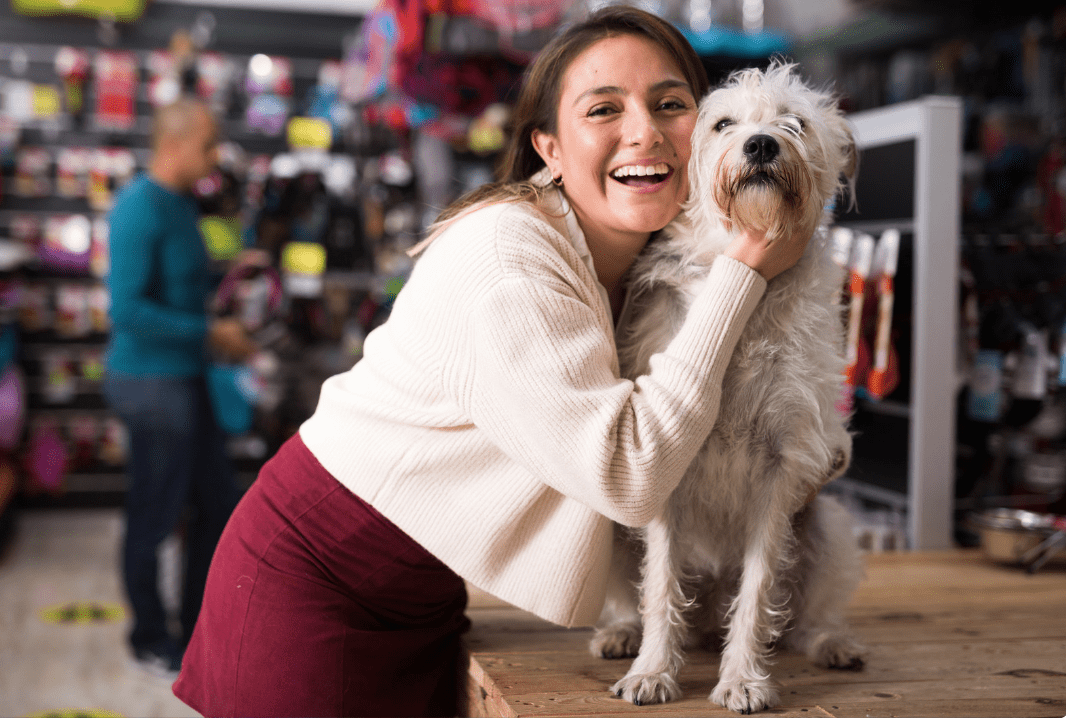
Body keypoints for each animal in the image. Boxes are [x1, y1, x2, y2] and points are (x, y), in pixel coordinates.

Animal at [596, 64, 869, 711]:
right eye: (722, 124)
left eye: (794, 121)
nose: (762, 145)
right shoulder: (662, 466)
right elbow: (660, 584)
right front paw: (652, 671)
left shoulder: (782, 464)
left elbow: (758, 588)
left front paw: (742, 678)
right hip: (614, 525)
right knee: (636, 594)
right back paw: (621, 633)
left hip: (829, 525)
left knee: (807, 619)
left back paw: (833, 644)